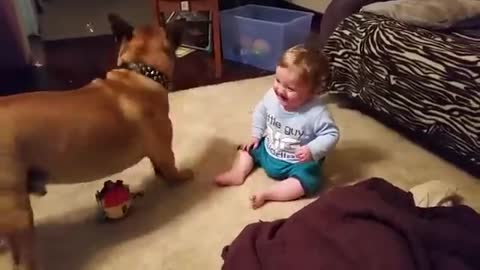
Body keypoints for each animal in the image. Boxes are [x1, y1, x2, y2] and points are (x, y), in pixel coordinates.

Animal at [0, 13, 191, 268]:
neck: (139, 73)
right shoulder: (164, 147)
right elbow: (170, 165)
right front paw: (181, 177)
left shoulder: (156, 150)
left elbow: (159, 166)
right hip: (18, 215)